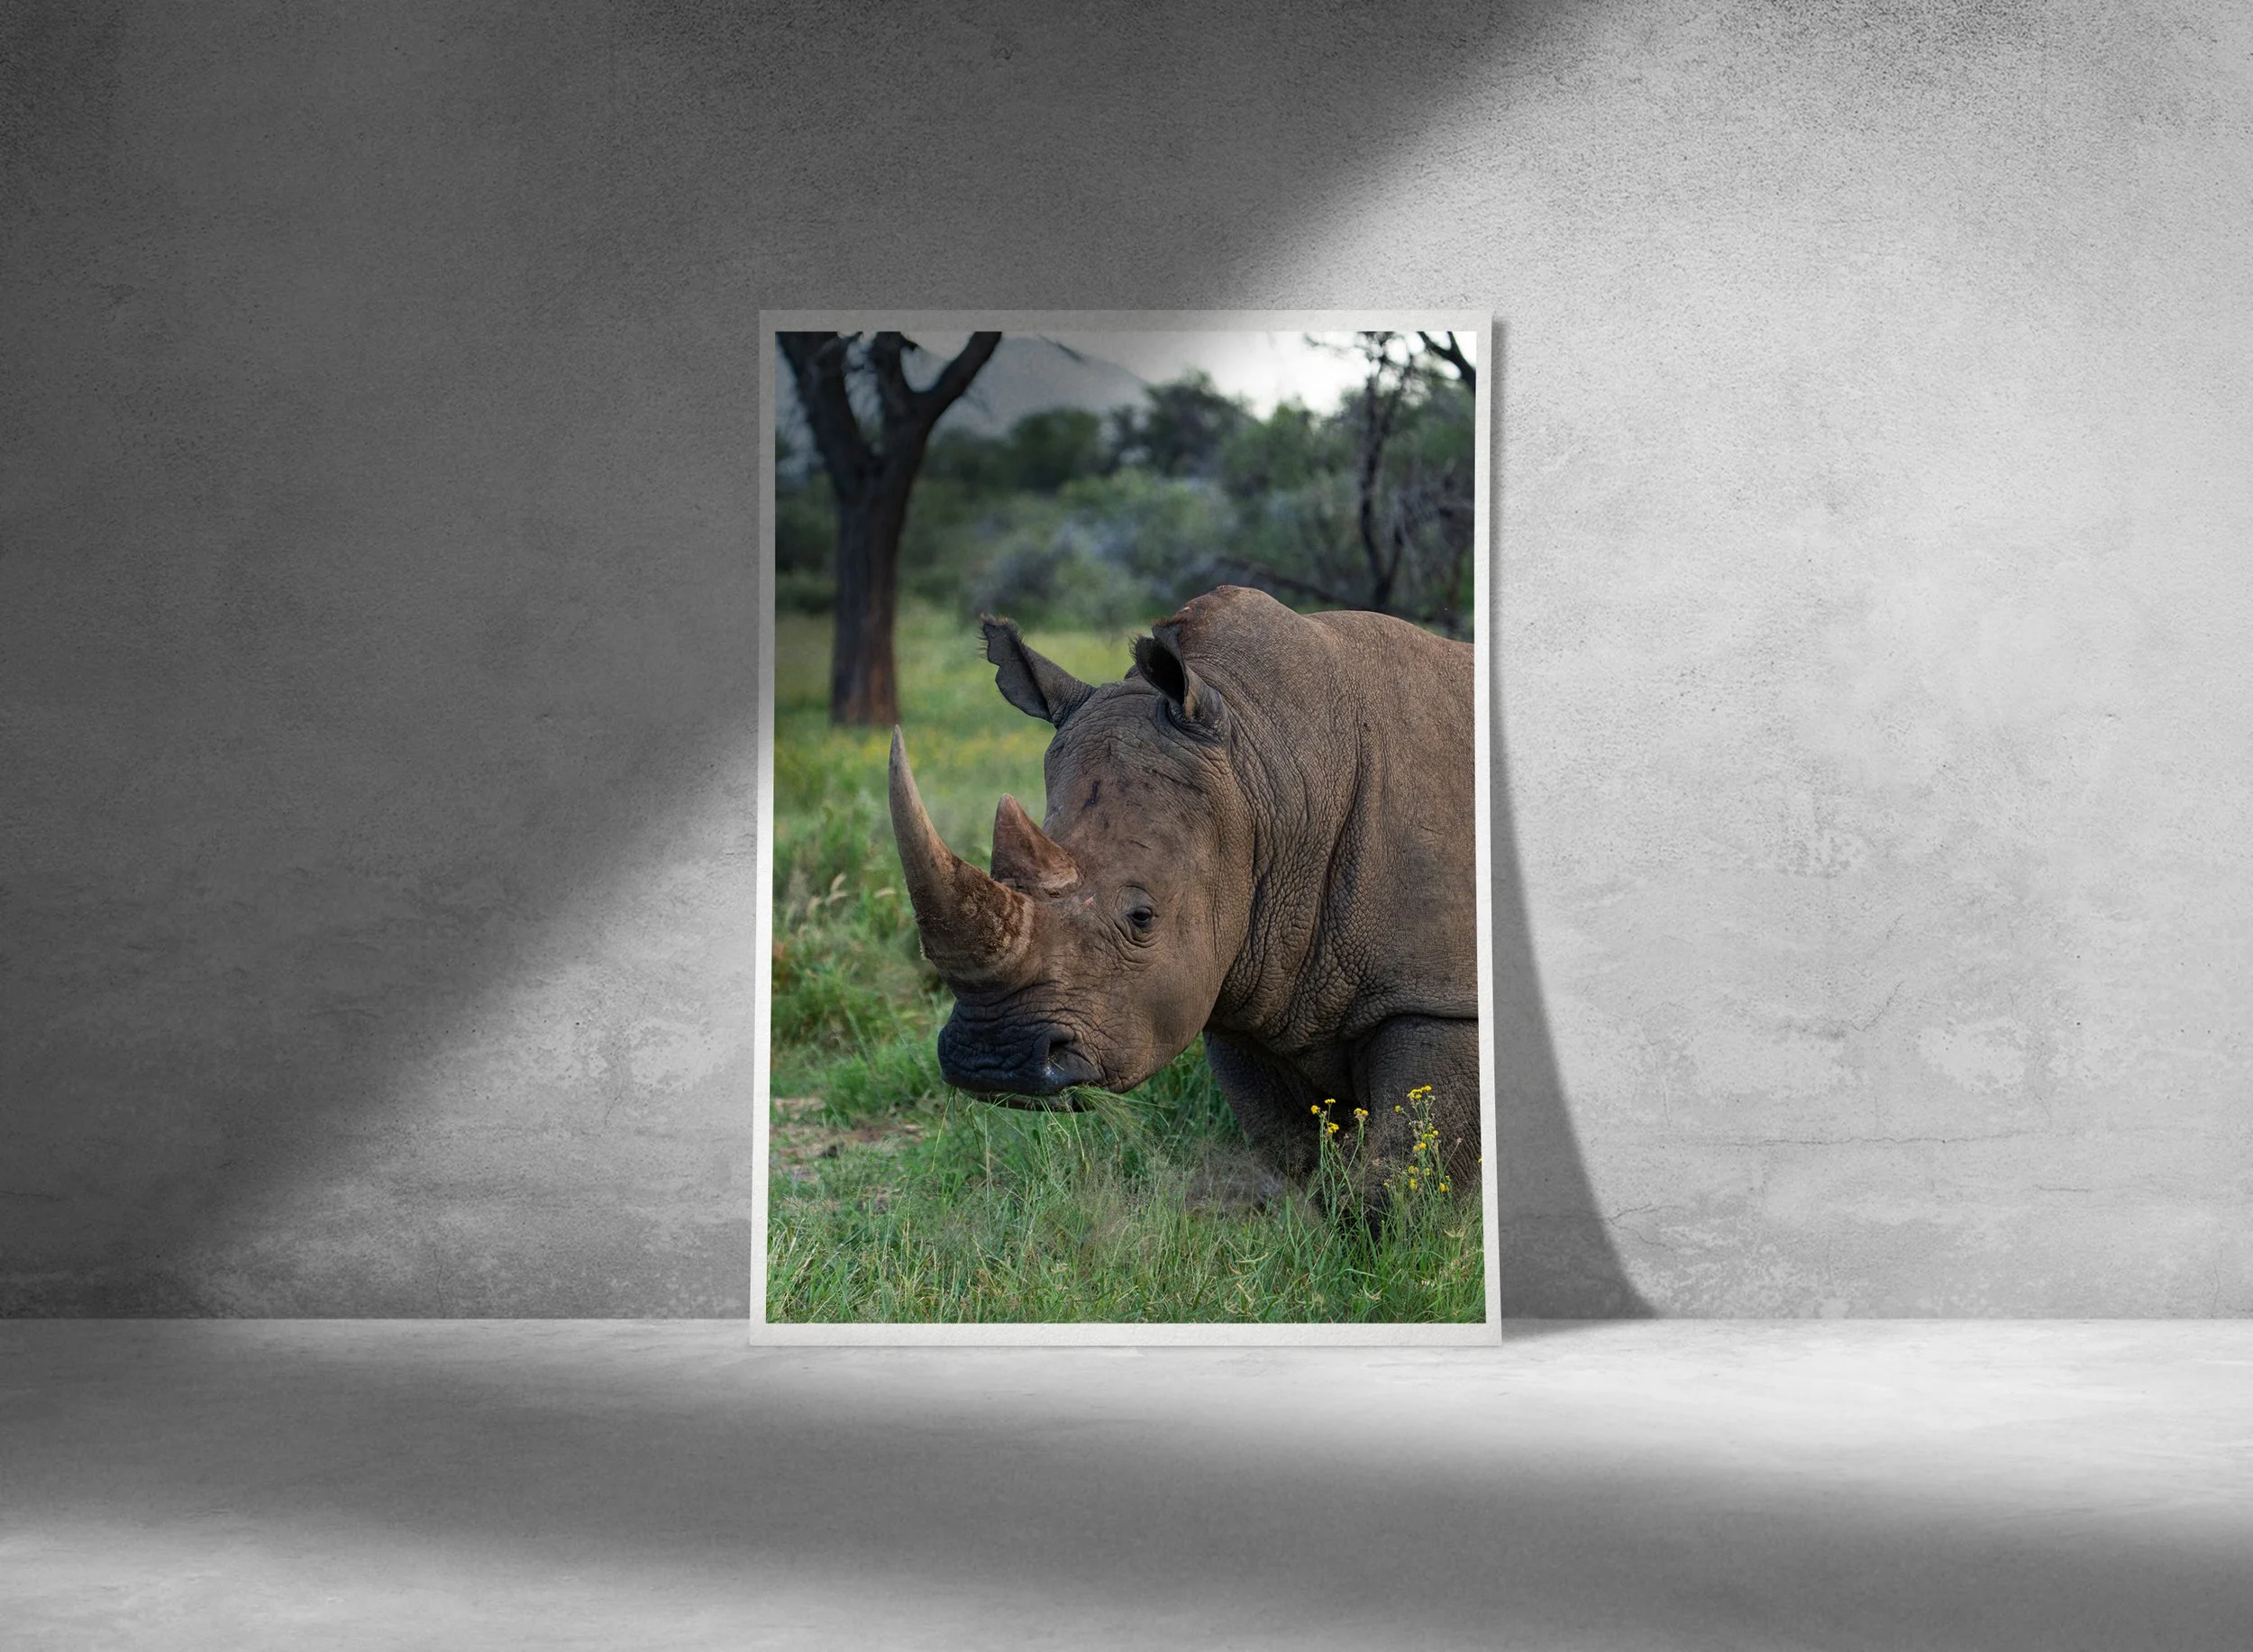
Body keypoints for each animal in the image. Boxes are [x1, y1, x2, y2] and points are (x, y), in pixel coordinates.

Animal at [888, 584, 1479, 1195]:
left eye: (1142, 916)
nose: (993, 1063)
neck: (1266, 770)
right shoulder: (1248, 982)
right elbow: (1297, 1155)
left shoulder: (1439, 999)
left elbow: (1404, 1176)